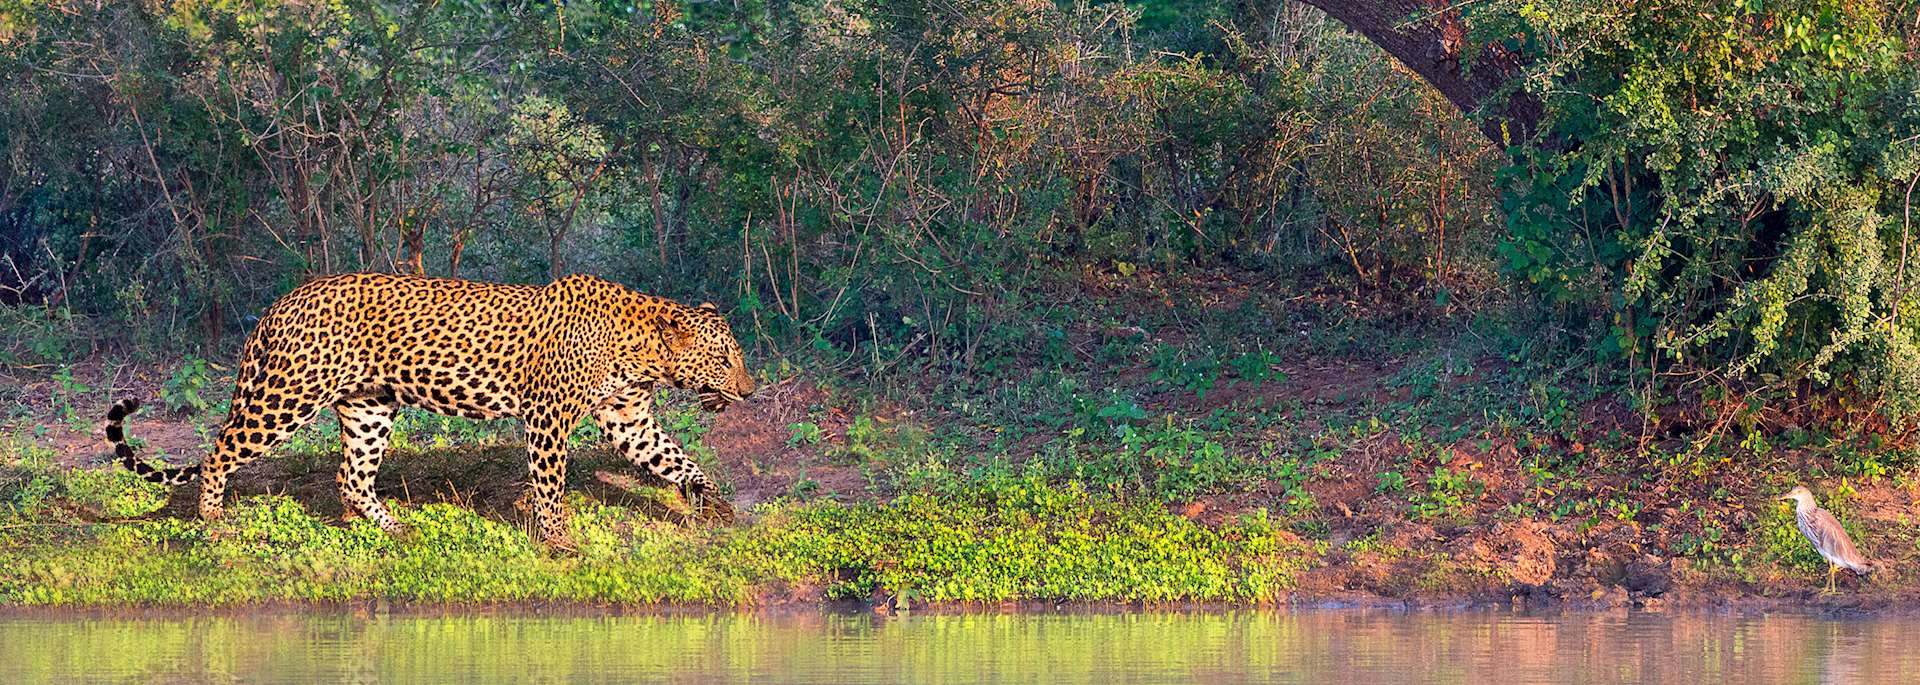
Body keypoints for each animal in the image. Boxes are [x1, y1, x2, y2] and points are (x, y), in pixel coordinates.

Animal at [104, 272, 755, 546]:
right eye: (724, 358)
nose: (749, 391)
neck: (642, 348)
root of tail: (280, 302)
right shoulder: (548, 416)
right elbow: (551, 485)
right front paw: (559, 539)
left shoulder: (628, 417)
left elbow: (677, 459)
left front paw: (715, 504)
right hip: (285, 397)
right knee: (219, 452)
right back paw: (213, 522)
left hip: (368, 407)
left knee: (350, 477)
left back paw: (395, 528)